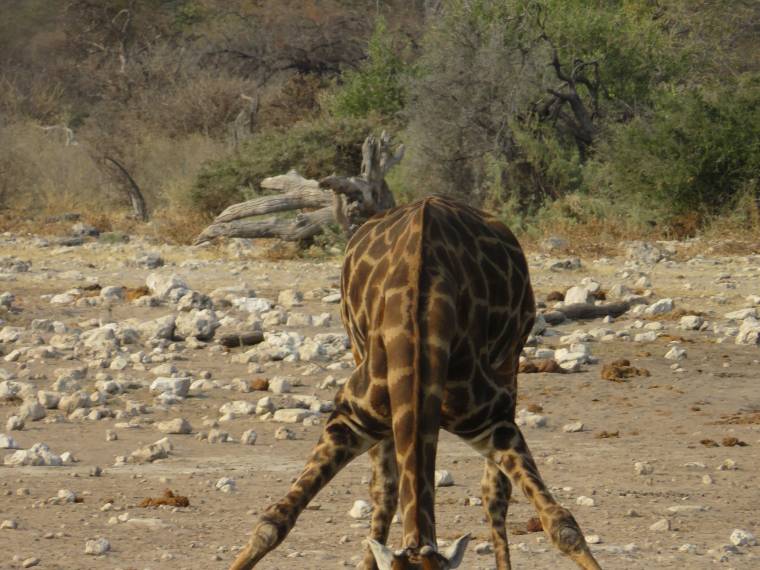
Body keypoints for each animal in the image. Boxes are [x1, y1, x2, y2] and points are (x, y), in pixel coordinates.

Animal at [230, 195, 601, 570]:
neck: (418, 325)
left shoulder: (492, 425)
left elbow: (561, 524)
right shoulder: (349, 421)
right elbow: (274, 521)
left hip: (509, 365)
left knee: (494, 492)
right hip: (360, 359)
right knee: (385, 490)